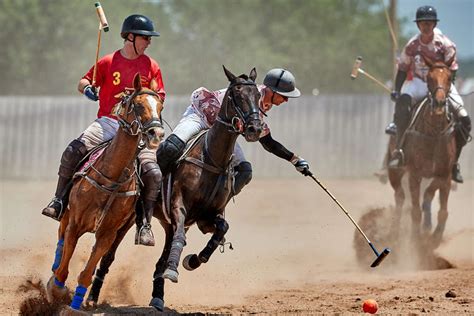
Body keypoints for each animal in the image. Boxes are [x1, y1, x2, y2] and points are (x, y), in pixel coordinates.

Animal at [46, 73, 165, 312]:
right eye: (138, 105)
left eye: (160, 106)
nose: (156, 134)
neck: (112, 178)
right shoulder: (76, 223)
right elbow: (63, 268)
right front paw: (56, 290)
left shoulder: (107, 234)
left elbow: (86, 273)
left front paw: (75, 306)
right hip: (67, 211)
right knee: (61, 236)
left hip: (125, 227)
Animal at [85, 65, 262, 312]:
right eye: (236, 95)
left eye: (258, 96)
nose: (255, 127)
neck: (211, 158)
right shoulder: (179, 207)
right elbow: (181, 237)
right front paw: (174, 269)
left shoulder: (206, 217)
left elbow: (222, 228)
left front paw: (193, 260)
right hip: (125, 220)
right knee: (109, 255)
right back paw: (93, 296)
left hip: (164, 223)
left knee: (161, 257)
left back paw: (158, 296)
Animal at [388, 57, 460, 249]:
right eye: (429, 78)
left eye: (449, 78)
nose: (440, 103)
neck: (433, 134)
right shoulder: (415, 174)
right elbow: (415, 211)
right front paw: (415, 240)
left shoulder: (444, 176)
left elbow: (441, 209)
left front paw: (434, 239)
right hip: (395, 172)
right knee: (400, 197)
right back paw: (395, 233)